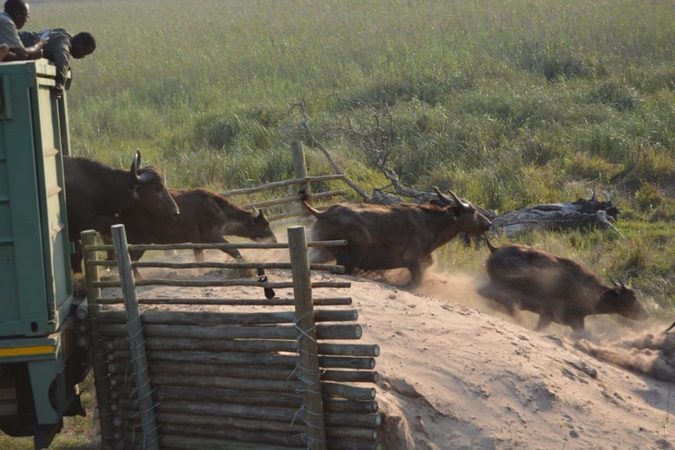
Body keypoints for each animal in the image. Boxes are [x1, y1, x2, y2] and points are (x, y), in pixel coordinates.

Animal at [302, 187, 492, 288]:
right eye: (472, 211)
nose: (489, 223)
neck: (429, 222)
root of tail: (323, 213)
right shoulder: (414, 262)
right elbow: (416, 282)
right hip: (349, 258)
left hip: (321, 251)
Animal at [478, 239, 648, 330]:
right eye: (631, 299)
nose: (645, 314)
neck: (589, 292)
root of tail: (495, 249)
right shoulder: (560, 318)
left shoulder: (559, 319)